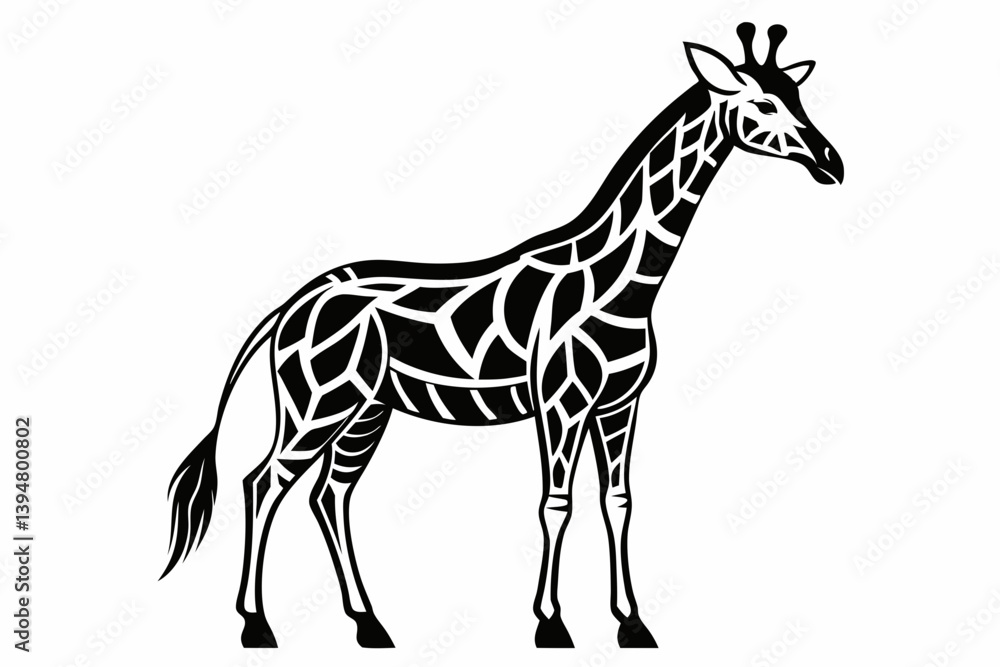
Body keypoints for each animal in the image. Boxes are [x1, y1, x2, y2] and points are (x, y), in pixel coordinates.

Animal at [160, 23, 843, 649]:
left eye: (798, 96)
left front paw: (633, 624)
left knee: (330, 495)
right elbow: (556, 504)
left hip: (366, 410)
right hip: (318, 403)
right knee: (263, 484)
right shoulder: (560, 403)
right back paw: (257, 625)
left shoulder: (620, 405)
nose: (831, 163)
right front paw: (551, 624)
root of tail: (294, 303)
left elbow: (619, 502)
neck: (624, 284)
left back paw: (370, 624)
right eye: (763, 104)